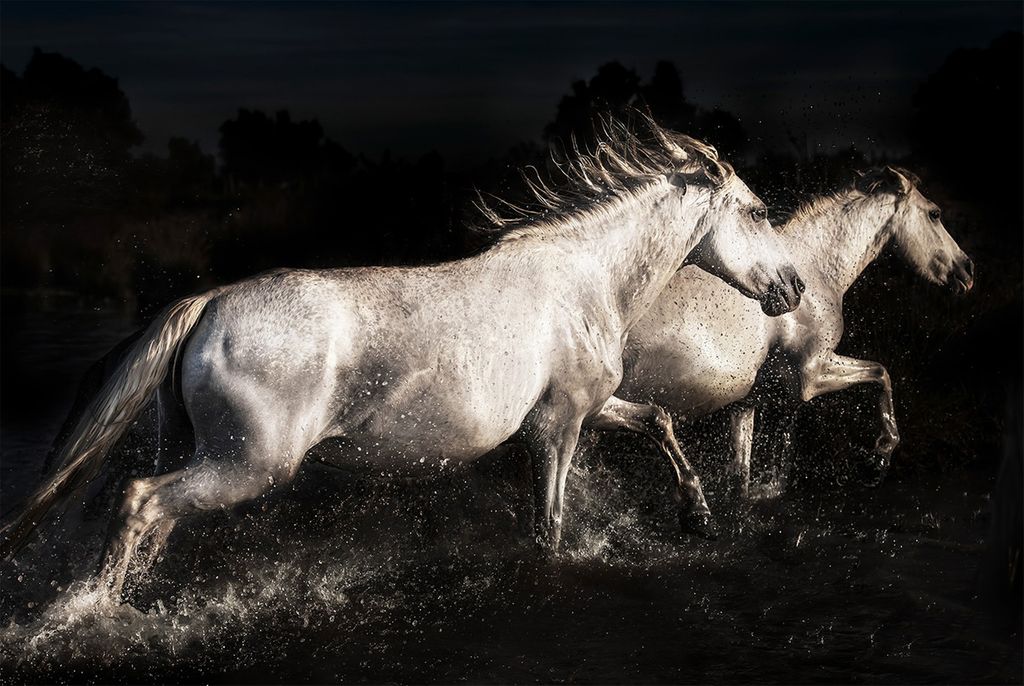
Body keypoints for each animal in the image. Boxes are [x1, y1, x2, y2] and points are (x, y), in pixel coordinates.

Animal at [0, 118, 806, 602]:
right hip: (249, 464)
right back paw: (94, 611)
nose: (792, 288)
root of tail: (211, 302)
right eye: (758, 211)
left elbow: (661, 421)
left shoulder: (586, 406)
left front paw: (698, 515)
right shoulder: (559, 426)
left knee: (154, 519)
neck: (585, 281)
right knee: (140, 501)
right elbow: (549, 527)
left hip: (210, 457)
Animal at [614, 167, 974, 495]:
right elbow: (881, 373)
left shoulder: (745, 403)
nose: (967, 270)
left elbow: (741, 481)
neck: (815, 271)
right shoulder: (812, 374)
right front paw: (878, 459)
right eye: (934, 214)